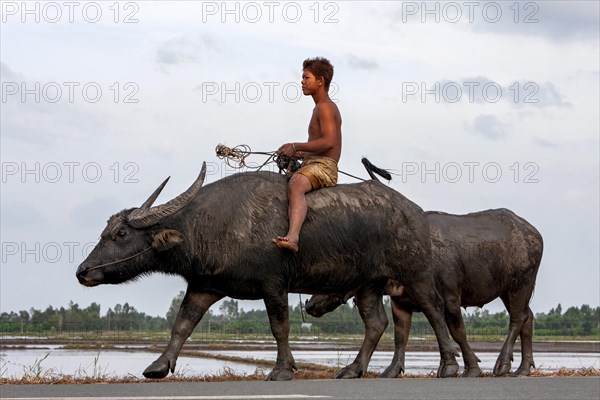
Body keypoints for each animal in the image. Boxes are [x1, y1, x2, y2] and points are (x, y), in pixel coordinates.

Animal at [75, 163, 460, 382]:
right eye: (105, 231)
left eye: (120, 234)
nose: (83, 271)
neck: (211, 225)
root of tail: (414, 211)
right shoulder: (203, 286)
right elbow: (182, 325)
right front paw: (157, 366)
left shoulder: (274, 284)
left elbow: (279, 327)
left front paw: (282, 370)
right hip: (366, 283)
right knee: (376, 322)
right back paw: (352, 370)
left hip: (415, 270)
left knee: (434, 309)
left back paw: (449, 365)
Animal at [304, 209, 544, 378]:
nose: (309, 304)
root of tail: (534, 233)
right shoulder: (400, 303)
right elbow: (401, 337)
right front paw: (392, 370)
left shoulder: (450, 297)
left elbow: (456, 331)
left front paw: (470, 368)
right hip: (508, 290)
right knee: (528, 317)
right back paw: (523, 368)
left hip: (520, 284)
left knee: (517, 319)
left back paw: (503, 364)